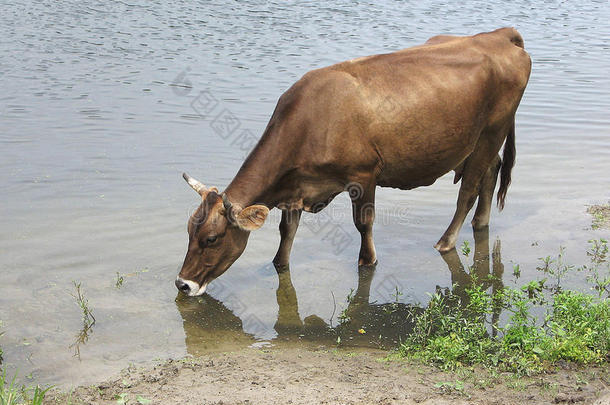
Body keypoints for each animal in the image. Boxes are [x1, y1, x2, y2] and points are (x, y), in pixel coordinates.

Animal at [175, 26, 528, 296]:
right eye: (189, 230)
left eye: (211, 239)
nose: (182, 284)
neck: (312, 121)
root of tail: (499, 35)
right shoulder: (296, 186)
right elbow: (287, 231)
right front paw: (278, 264)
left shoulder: (364, 174)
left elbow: (363, 223)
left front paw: (368, 261)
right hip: (479, 140)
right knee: (491, 171)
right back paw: (480, 223)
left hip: (492, 130)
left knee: (468, 190)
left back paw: (445, 242)